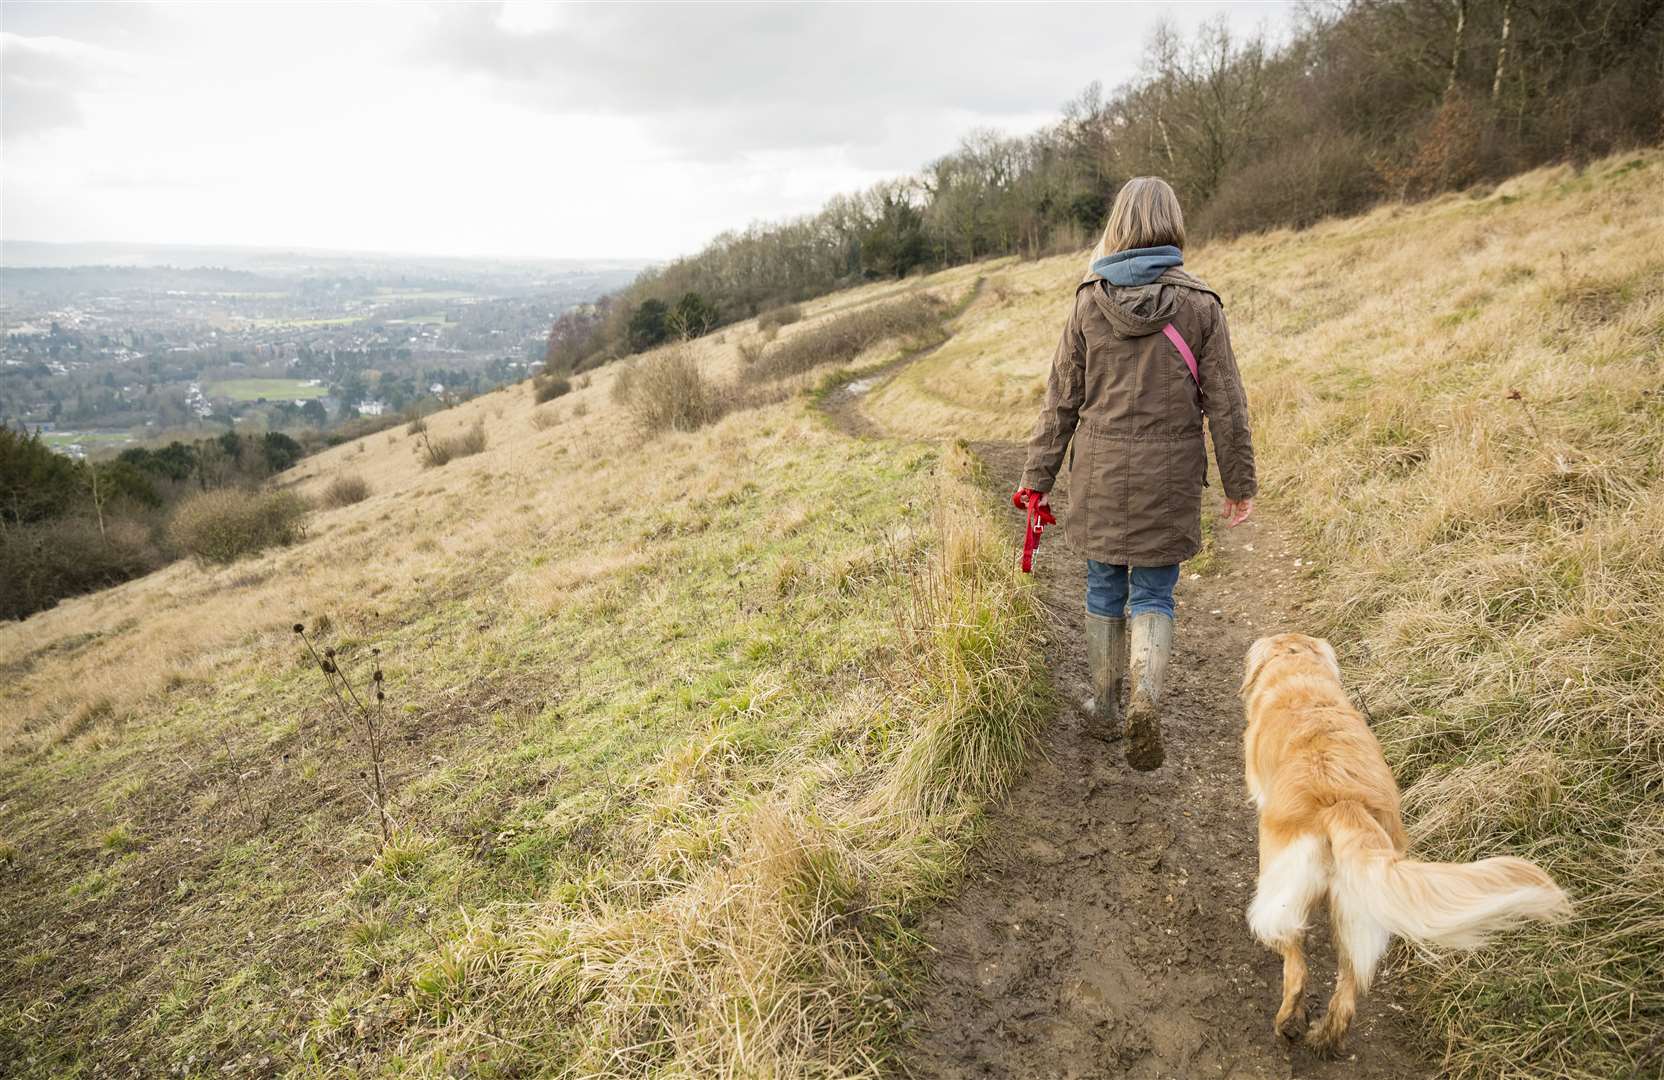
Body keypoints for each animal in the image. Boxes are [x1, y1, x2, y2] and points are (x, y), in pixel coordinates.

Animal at [1238, 632, 1570, 1051]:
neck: (1298, 673)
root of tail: (1343, 801)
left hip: (1282, 893)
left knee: (1295, 964)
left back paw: (1288, 1023)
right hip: (1360, 908)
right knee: (1348, 991)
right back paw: (1326, 1037)